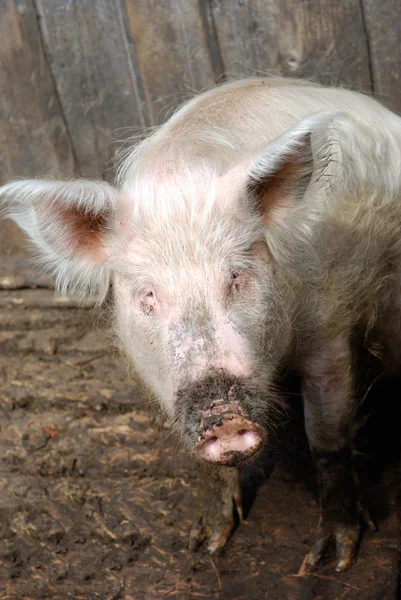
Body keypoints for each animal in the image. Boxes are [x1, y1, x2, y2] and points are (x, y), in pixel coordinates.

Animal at [0, 77, 400, 576]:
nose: (221, 413)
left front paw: (331, 562)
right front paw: (205, 543)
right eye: (149, 297)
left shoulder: (329, 327)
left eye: (235, 276)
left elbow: (326, 439)